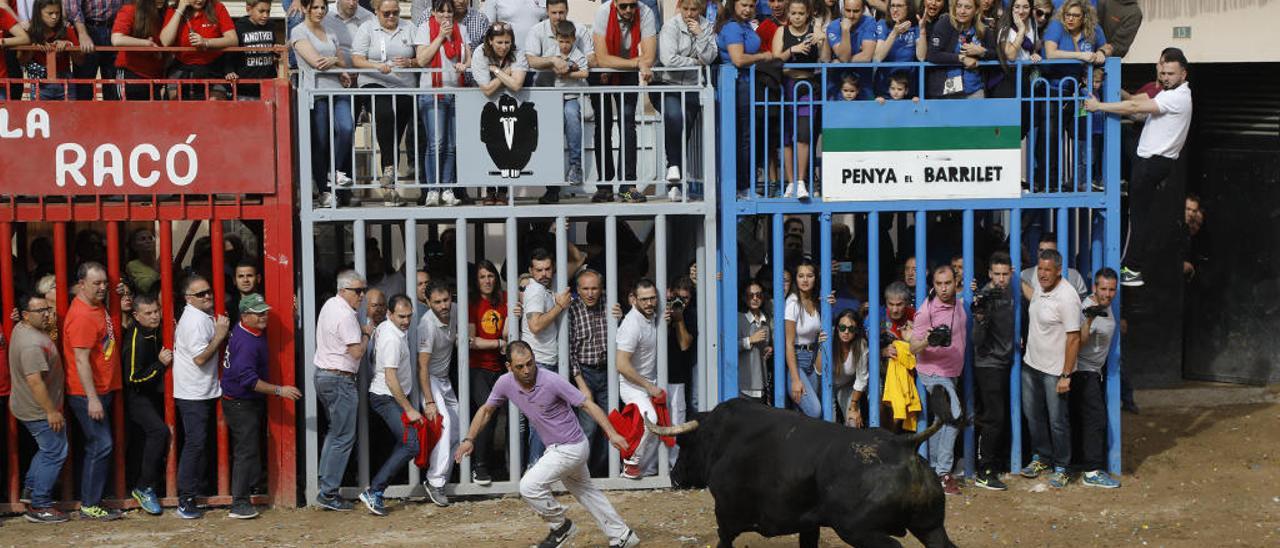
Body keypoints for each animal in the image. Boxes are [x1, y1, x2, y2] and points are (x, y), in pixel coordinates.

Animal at [650, 389, 962, 548]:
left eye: (684, 443)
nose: (674, 477)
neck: (723, 437)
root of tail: (904, 444)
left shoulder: (726, 515)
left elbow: (724, 541)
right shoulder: (808, 524)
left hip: (858, 529)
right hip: (930, 526)